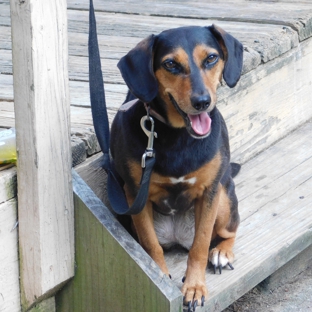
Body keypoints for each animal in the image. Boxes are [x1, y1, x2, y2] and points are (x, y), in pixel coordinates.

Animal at [111, 24, 245, 310]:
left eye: (211, 58)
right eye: (170, 64)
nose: (202, 102)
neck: (179, 135)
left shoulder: (210, 192)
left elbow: (200, 245)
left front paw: (194, 286)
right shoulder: (135, 194)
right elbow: (151, 246)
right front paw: (159, 278)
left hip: (224, 197)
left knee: (228, 230)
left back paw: (222, 252)